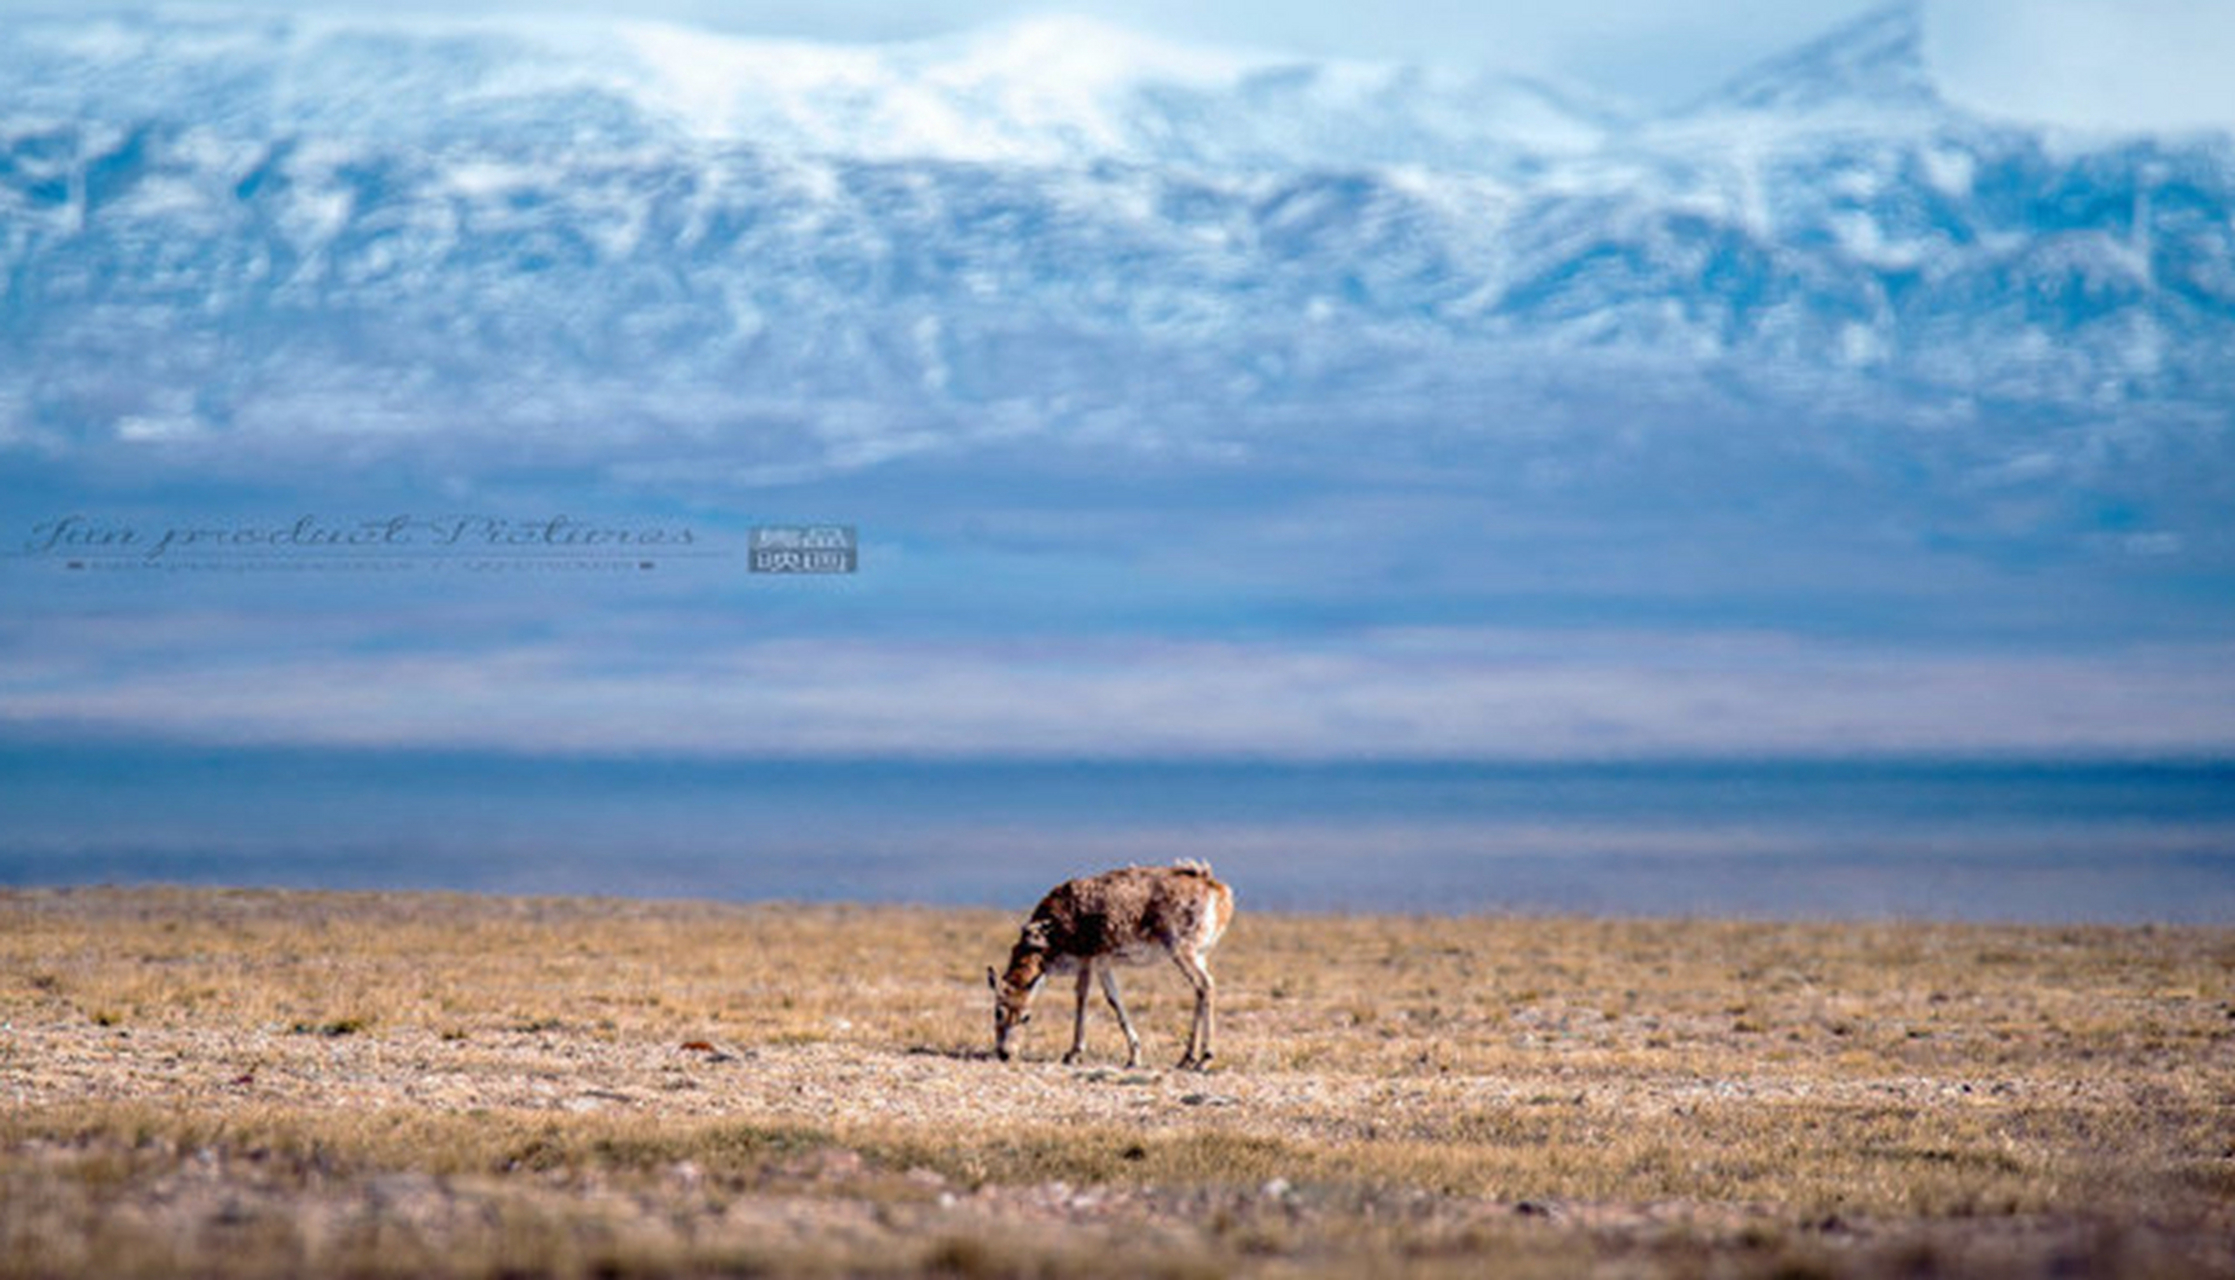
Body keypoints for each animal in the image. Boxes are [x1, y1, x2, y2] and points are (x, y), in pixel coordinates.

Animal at [987, 857, 1242, 1067]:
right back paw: (1186, 1058)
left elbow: (1081, 997)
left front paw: (1073, 1053)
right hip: (1197, 955)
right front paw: (1134, 1056)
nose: (1005, 1054)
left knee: (1205, 984)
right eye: (997, 1012)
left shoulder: (1087, 960)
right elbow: (1114, 1000)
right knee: (1200, 989)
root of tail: (1216, 888)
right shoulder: (1104, 964)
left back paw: (1204, 1058)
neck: (1049, 930)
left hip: (1181, 951)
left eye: (1026, 1016)